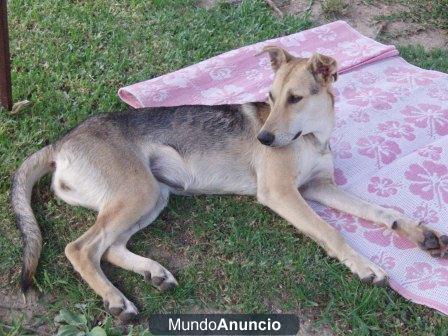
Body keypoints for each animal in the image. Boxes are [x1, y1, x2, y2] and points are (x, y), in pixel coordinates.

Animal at [11, 47, 448, 322]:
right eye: (270, 97)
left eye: (295, 98)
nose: (263, 140)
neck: (311, 136)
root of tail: (61, 141)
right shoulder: (284, 194)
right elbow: (331, 231)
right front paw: (365, 266)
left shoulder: (318, 188)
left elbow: (380, 210)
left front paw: (420, 232)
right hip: (138, 194)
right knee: (81, 248)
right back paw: (117, 300)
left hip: (152, 196)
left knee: (111, 247)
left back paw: (153, 273)